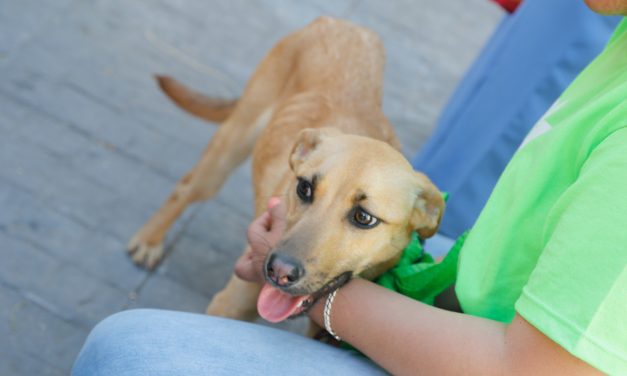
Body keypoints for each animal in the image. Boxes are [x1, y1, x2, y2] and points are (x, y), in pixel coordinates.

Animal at [127, 16, 444, 324]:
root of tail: (344, 23)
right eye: (304, 188)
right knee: (187, 187)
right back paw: (149, 241)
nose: (278, 271)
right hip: (229, 147)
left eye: (364, 217)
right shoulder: (229, 305)